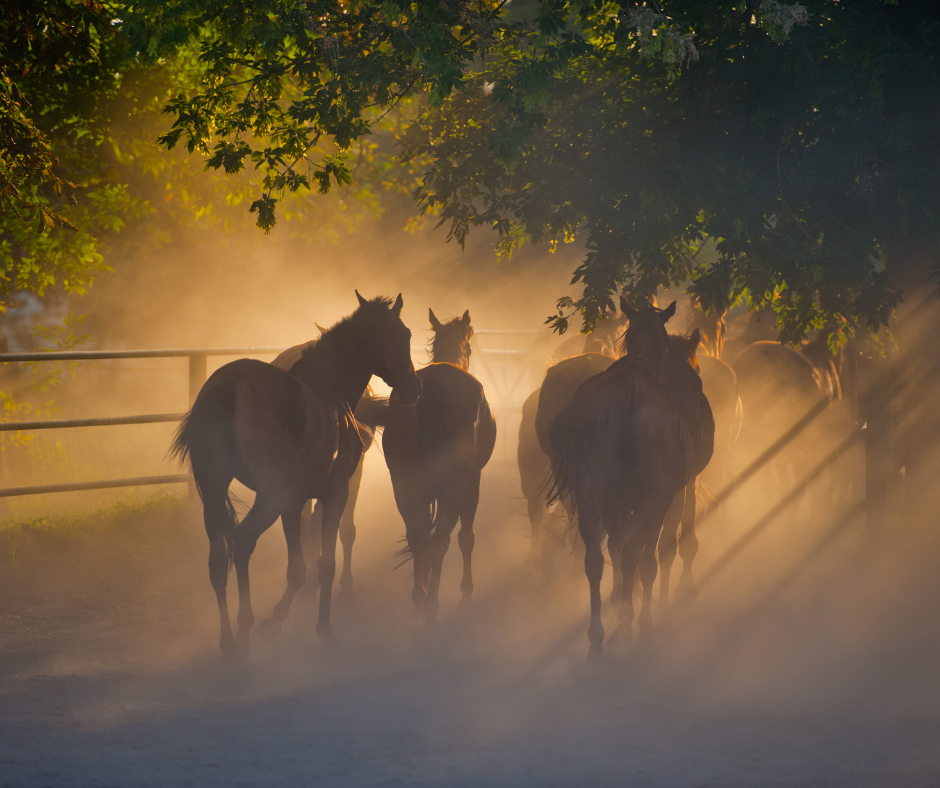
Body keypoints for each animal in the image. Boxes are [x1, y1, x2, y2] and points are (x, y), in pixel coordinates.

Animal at [171, 290, 420, 660]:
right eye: (404, 335)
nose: (415, 387)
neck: (328, 390)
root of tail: (228, 388)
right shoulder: (333, 494)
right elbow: (325, 563)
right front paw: (320, 630)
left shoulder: (295, 502)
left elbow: (298, 568)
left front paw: (278, 621)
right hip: (269, 497)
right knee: (242, 542)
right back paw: (244, 633)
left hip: (216, 493)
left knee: (217, 561)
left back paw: (228, 640)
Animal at [384, 310, 500, 624]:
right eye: (469, 347)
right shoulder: (473, 480)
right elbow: (466, 537)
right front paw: (466, 596)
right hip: (453, 486)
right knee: (441, 540)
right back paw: (431, 605)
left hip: (403, 484)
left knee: (418, 537)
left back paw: (419, 599)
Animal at [552, 302, 704, 660]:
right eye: (666, 338)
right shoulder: (659, 502)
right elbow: (646, 561)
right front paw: (638, 621)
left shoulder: (615, 508)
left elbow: (617, 556)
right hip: (650, 502)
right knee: (638, 556)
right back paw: (631, 627)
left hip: (590, 501)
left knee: (594, 561)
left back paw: (597, 639)